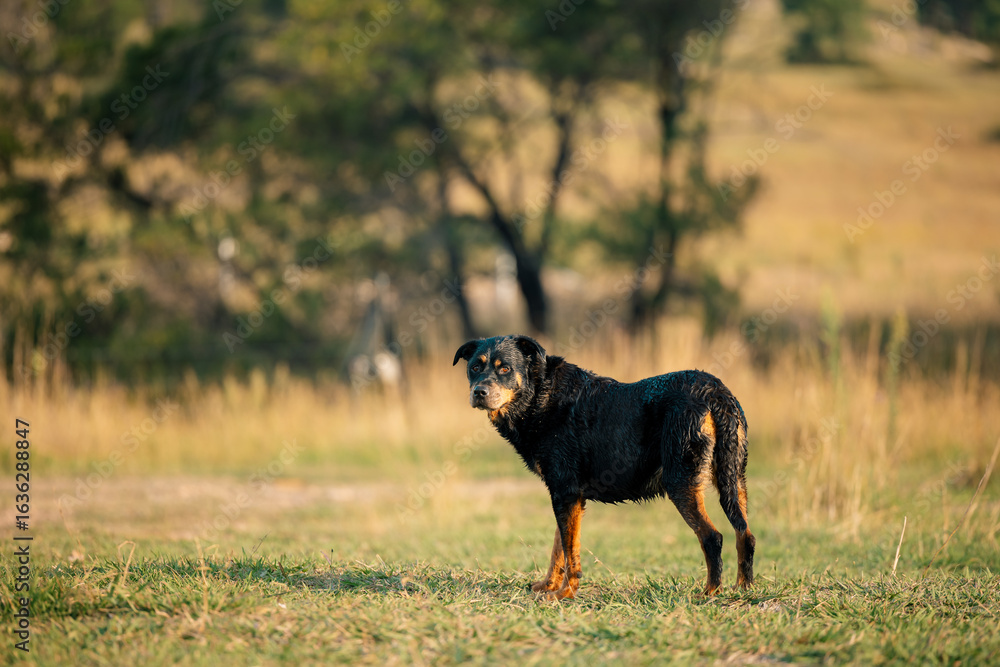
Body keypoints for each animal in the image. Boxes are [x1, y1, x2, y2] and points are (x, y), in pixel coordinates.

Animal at [453, 334, 755, 600]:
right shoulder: (567, 495)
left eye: (504, 368)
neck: (540, 395)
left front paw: (564, 594)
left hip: (682, 482)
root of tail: (715, 392)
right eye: (475, 368)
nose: (479, 392)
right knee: (746, 535)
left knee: (713, 537)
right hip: (734, 480)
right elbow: (559, 548)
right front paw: (549, 586)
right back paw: (744, 588)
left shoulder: (565, 492)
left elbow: (569, 552)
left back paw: (710, 592)